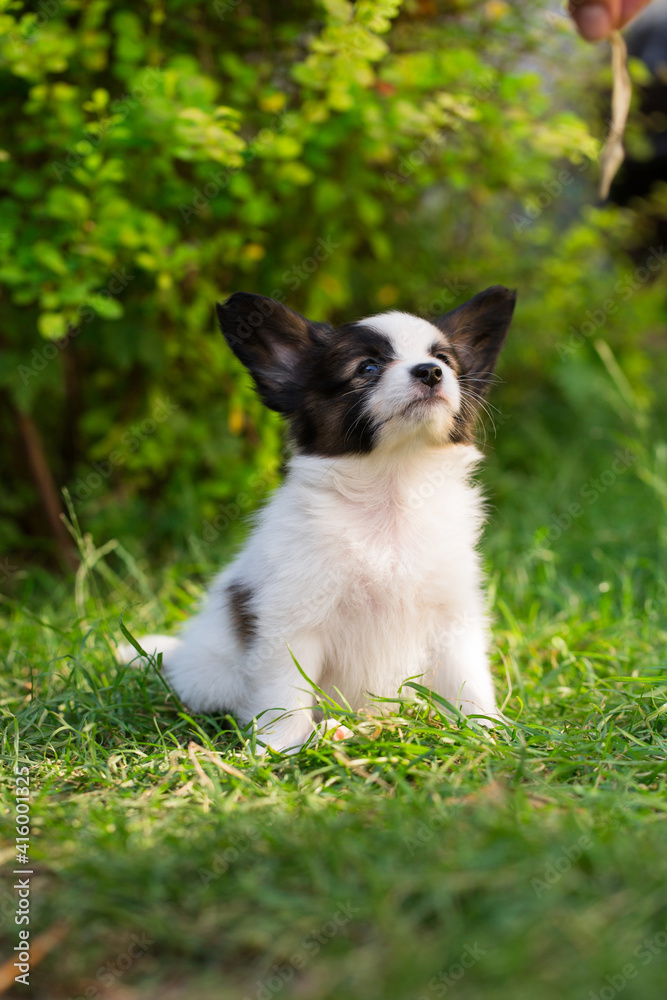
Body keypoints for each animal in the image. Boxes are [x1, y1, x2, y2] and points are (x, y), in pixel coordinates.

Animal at [118, 288, 516, 752]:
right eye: (367, 367)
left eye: (445, 361)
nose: (431, 372)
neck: (393, 491)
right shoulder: (293, 621)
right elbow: (285, 693)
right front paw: (281, 748)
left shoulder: (453, 616)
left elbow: (468, 681)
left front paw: (487, 732)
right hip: (214, 679)